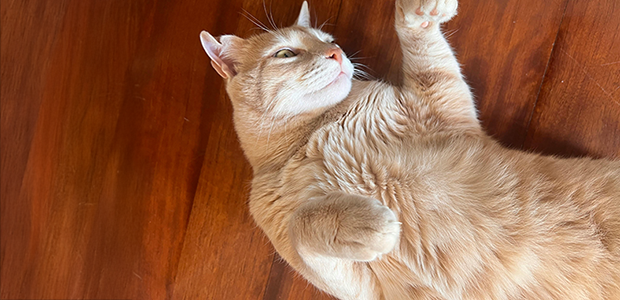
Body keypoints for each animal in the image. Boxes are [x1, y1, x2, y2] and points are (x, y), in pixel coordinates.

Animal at [200, 0, 620, 298]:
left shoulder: (445, 105)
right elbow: (302, 221)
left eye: (330, 41)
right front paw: (366, 223)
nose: (337, 54)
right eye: (286, 53)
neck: (314, 134)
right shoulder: (355, 284)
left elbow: (426, 52)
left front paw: (418, 15)